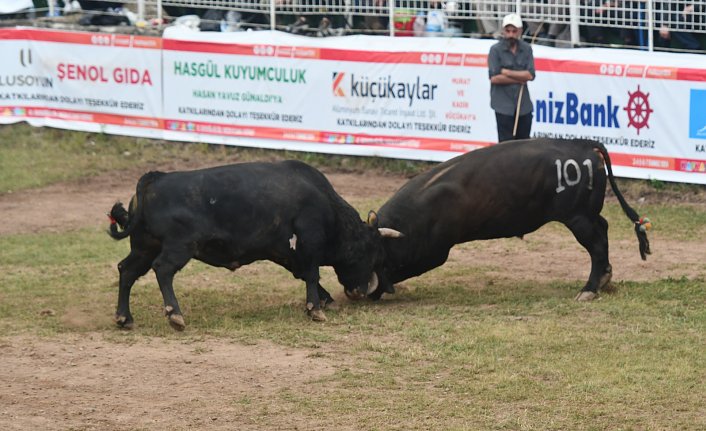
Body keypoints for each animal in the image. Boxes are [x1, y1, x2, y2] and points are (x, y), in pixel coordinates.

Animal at [107, 160, 390, 330]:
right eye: (368, 252)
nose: (360, 291)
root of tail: (153, 178)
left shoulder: (284, 251)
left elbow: (303, 273)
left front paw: (325, 299)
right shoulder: (310, 241)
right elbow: (311, 274)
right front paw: (316, 309)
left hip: (144, 246)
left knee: (127, 270)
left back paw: (124, 317)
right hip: (179, 246)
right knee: (163, 269)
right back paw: (175, 314)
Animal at [368, 138, 648, 300]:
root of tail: (584, 145)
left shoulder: (435, 252)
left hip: (577, 217)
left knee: (597, 244)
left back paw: (589, 289)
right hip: (586, 214)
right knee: (603, 229)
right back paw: (604, 278)